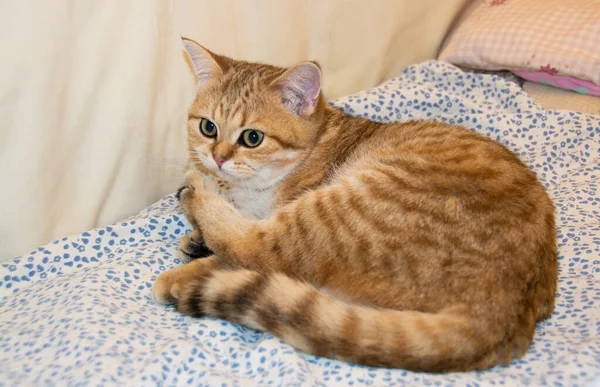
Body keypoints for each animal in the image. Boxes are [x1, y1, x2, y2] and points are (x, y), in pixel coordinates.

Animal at [154, 38, 556, 372]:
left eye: (252, 137)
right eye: (208, 127)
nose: (218, 158)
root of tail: (503, 312)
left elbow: (242, 244)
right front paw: (195, 239)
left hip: (346, 207)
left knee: (258, 250)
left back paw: (188, 227)